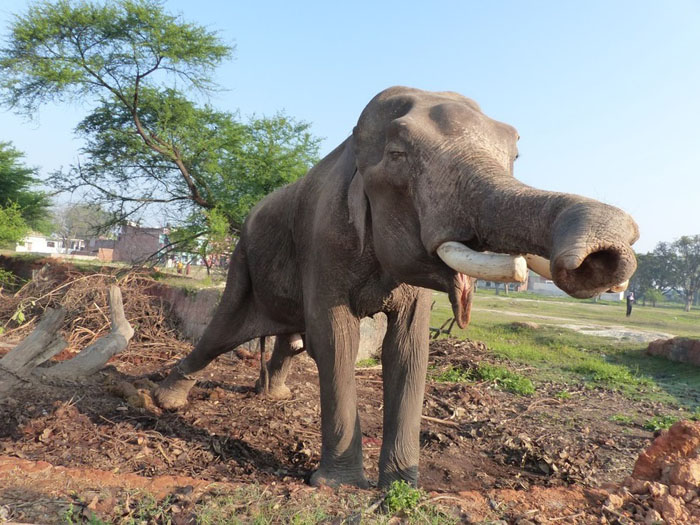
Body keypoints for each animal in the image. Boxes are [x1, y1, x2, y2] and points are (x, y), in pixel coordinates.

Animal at [154, 85, 640, 488]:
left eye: (516, 155)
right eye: (397, 154)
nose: (600, 257)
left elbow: (408, 347)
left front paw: (403, 486)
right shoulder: (325, 240)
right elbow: (337, 340)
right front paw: (337, 486)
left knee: (287, 340)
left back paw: (274, 394)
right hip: (242, 261)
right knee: (221, 334)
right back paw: (164, 399)